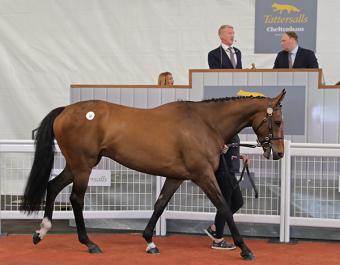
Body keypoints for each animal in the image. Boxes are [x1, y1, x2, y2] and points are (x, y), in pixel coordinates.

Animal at [19, 88, 286, 258]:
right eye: (278, 121)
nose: (279, 153)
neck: (204, 123)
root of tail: (66, 110)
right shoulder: (203, 175)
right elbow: (225, 207)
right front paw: (245, 249)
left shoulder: (176, 177)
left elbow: (160, 205)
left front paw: (149, 241)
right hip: (83, 166)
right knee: (76, 199)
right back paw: (89, 243)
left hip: (76, 165)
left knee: (53, 186)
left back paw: (41, 232)